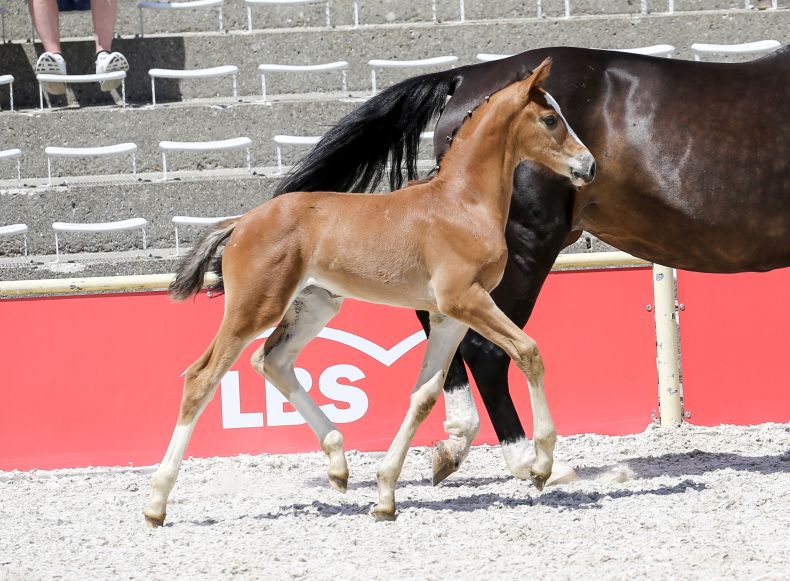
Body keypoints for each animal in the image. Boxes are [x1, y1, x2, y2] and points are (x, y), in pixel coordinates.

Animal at [145, 59, 596, 524]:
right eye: (550, 119)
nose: (590, 166)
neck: (461, 204)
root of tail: (241, 222)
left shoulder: (448, 315)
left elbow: (424, 395)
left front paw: (385, 494)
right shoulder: (466, 300)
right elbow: (528, 351)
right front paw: (542, 465)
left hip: (315, 306)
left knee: (273, 361)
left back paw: (338, 464)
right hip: (256, 307)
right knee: (201, 377)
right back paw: (157, 502)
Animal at [274, 44, 790, 480]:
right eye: (550, 121)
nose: (589, 165)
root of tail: (466, 76)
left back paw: (456, 443)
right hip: (524, 248)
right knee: (486, 350)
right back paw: (528, 460)